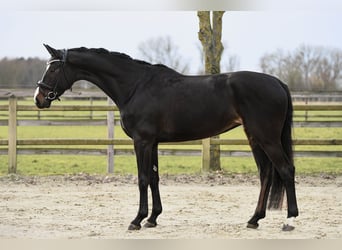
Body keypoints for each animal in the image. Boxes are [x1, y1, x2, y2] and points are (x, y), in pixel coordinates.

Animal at [33, 44, 298, 231]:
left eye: (53, 68)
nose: (39, 98)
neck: (135, 86)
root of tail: (278, 82)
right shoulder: (153, 143)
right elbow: (154, 178)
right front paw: (152, 218)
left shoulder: (141, 142)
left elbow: (142, 179)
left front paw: (137, 220)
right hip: (254, 137)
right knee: (266, 173)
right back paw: (254, 219)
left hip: (267, 138)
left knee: (285, 170)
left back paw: (290, 220)